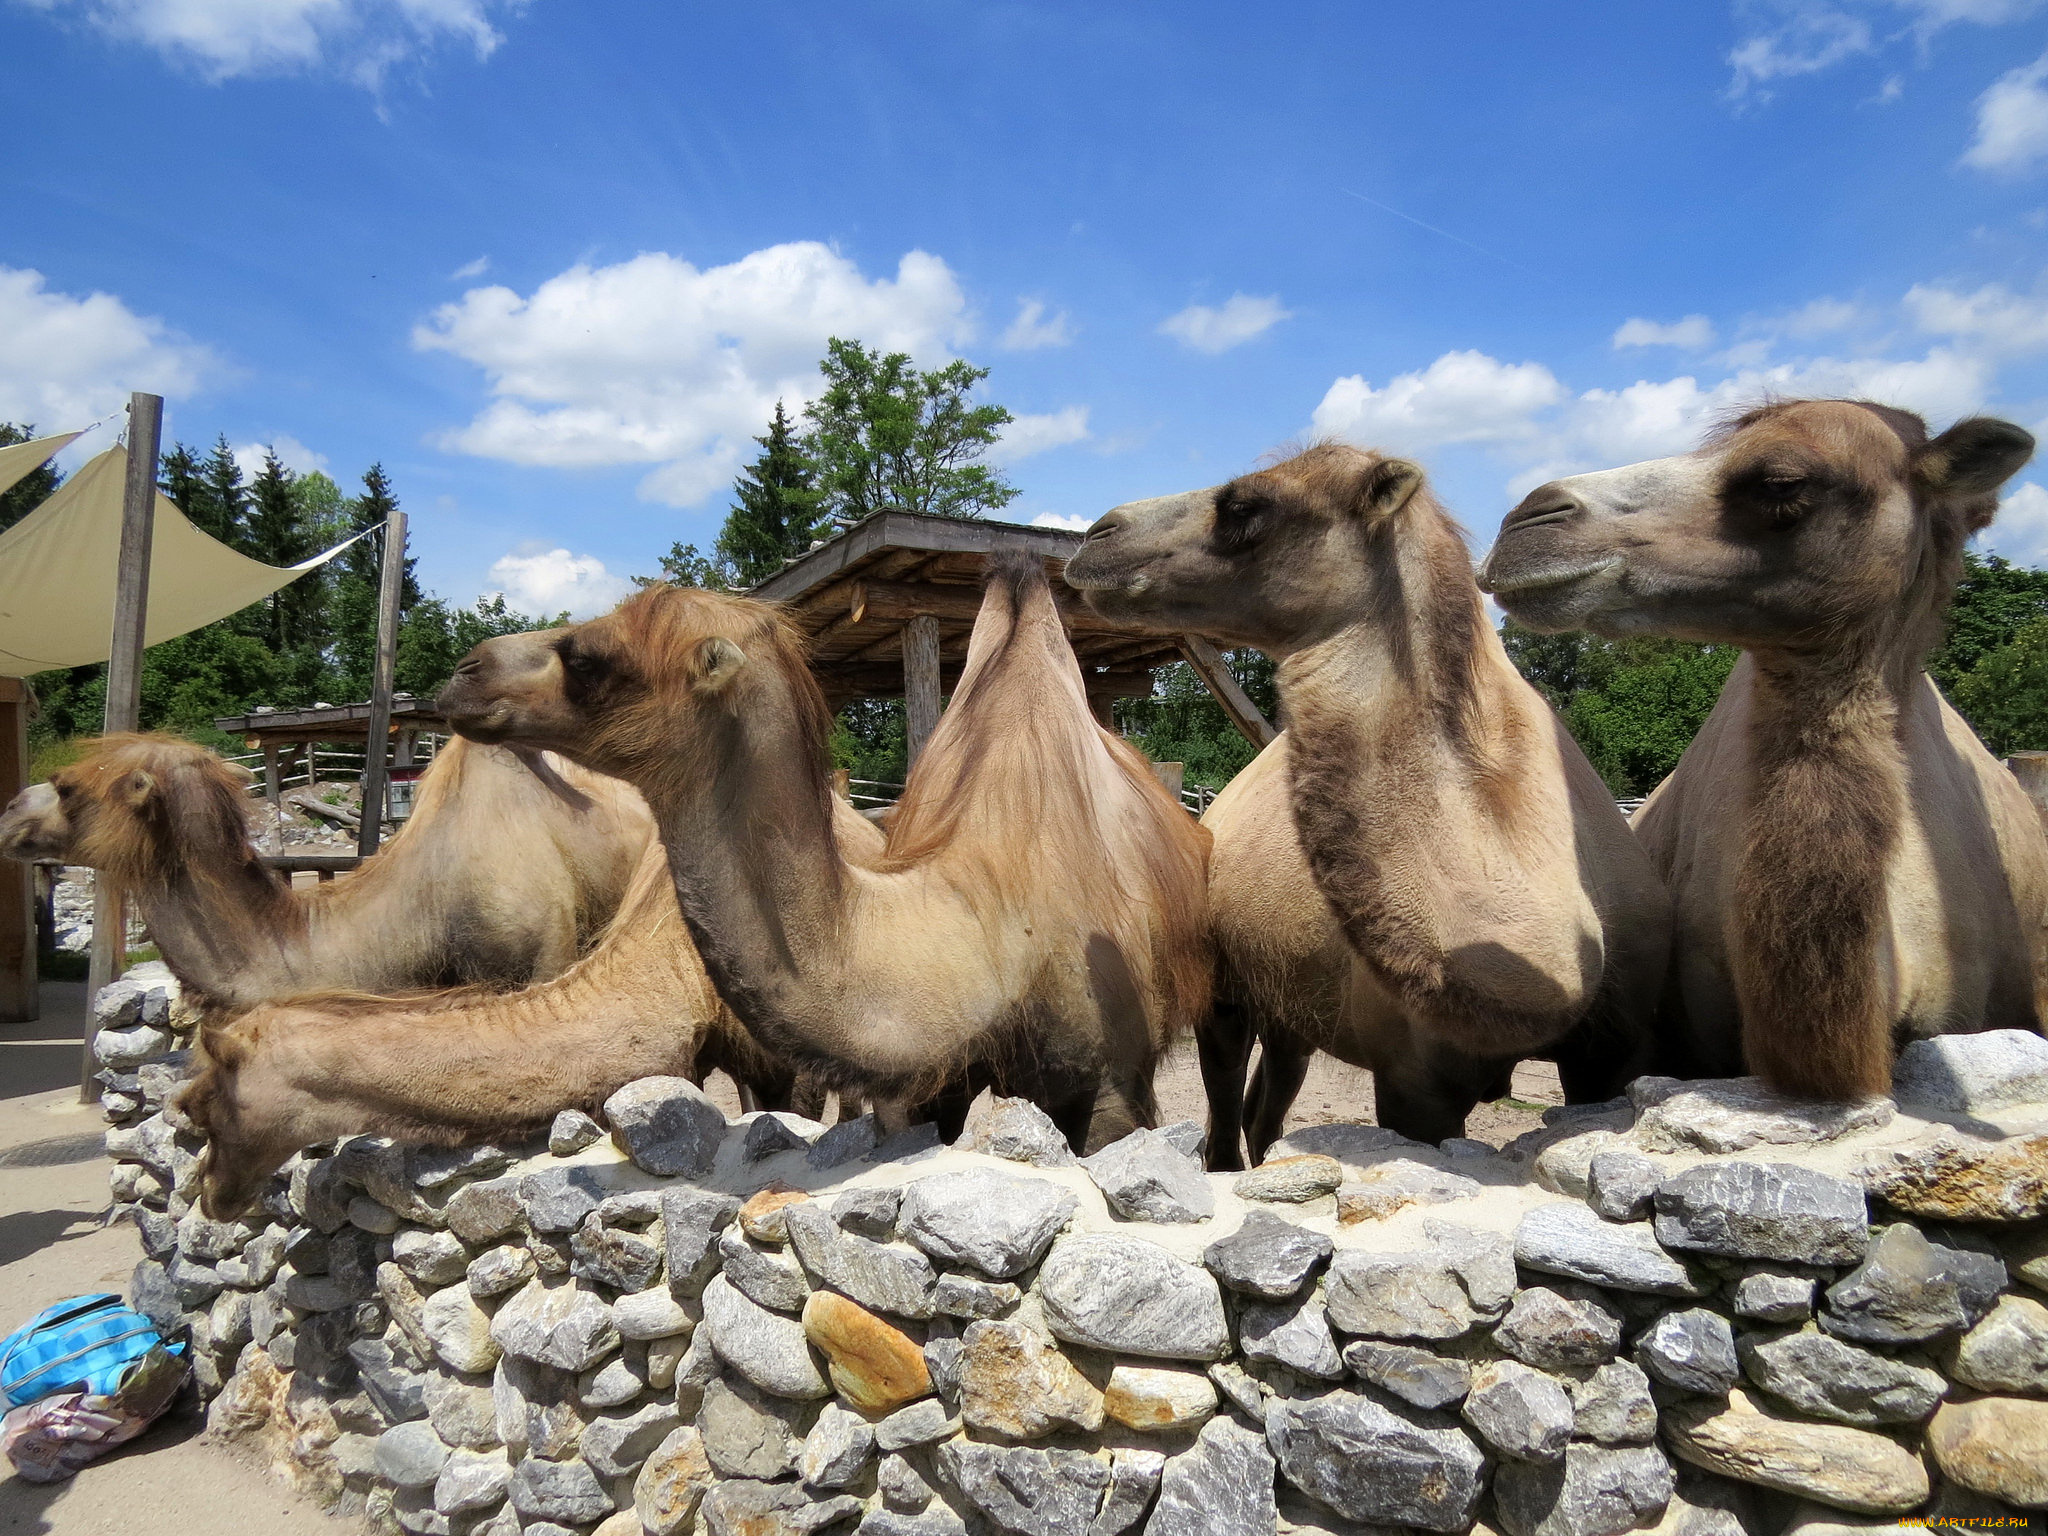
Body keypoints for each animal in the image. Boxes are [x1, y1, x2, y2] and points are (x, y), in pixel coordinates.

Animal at [1064, 444, 1671, 1155]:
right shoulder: (1416, 1081)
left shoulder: (1616, 1052)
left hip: (1290, 1007)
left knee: (1268, 1099)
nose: (1096, 535)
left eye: (1246, 504)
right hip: (1225, 990)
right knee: (1225, 1112)